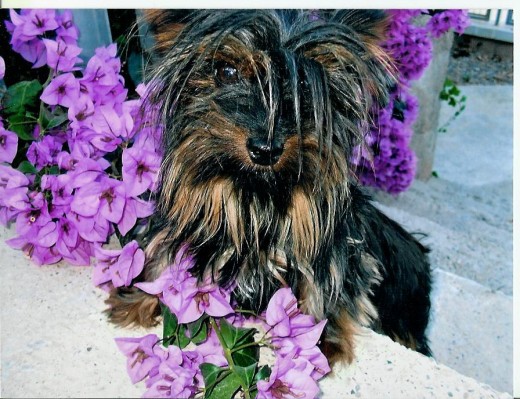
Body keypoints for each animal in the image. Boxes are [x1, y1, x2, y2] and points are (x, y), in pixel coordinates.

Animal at [105, 9, 430, 366]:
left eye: (305, 86)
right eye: (227, 71)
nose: (265, 148)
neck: (255, 193)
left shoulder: (335, 243)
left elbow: (327, 276)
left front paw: (320, 336)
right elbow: (163, 251)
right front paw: (139, 296)